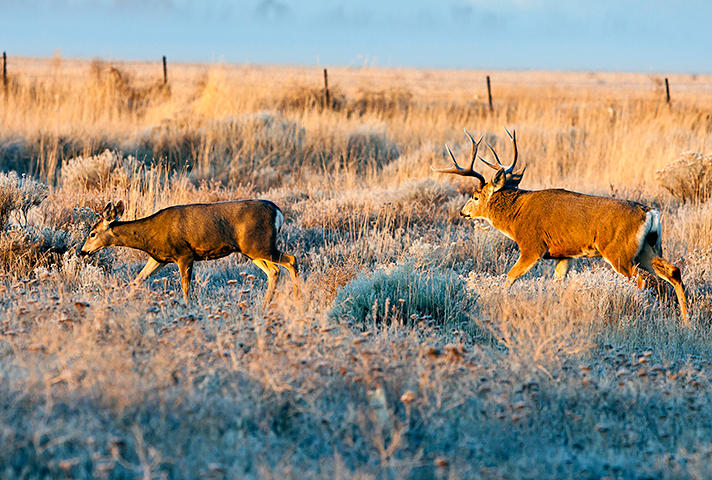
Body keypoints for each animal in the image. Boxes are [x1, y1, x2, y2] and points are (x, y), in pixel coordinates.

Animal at [80, 199, 300, 307]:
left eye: (92, 233)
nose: (82, 252)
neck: (150, 235)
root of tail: (278, 212)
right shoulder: (159, 258)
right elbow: (138, 279)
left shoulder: (184, 254)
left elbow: (186, 287)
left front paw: (188, 309)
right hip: (252, 250)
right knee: (274, 271)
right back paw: (265, 305)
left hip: (260, 245)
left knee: (291, 260)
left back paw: (298, 299)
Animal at [433, 129, 689, 325]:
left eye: (476, 197)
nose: (462, 212)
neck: (516, 216)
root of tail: (651, 213)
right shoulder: (564, 255)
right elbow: (557, 283)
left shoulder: (532, 247)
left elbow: (510, 276)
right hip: (646, 249)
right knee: (673, 271)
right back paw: (686, 321)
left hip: (619, 252)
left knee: (641, 281)